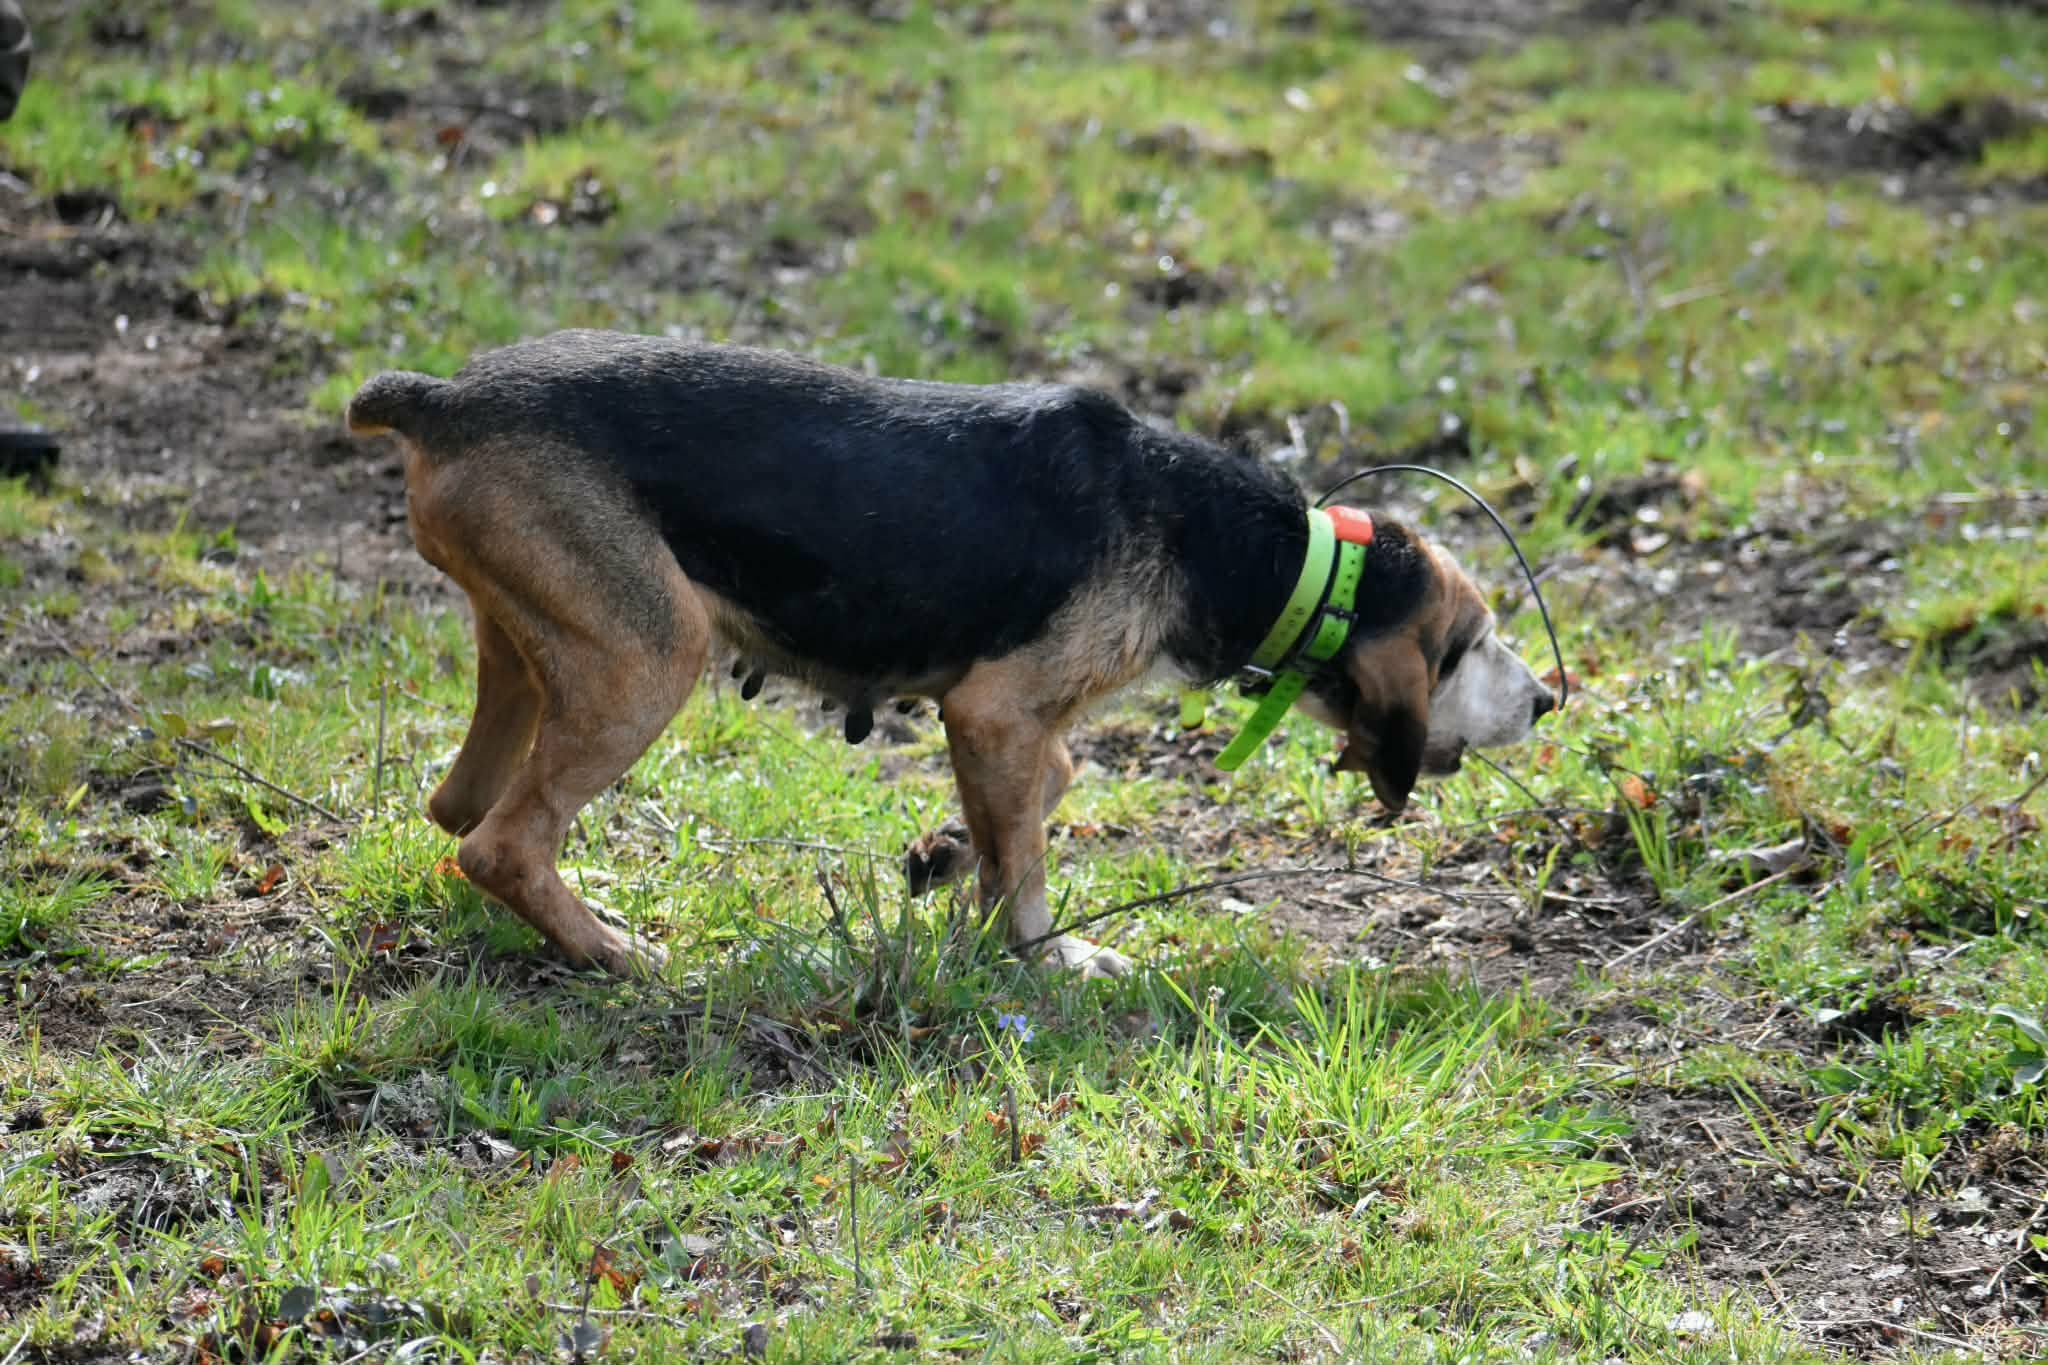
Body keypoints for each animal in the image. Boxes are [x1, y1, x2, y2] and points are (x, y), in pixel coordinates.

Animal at [347, 331, 1555, 979]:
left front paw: (958, 895)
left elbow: (1022, 818)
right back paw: (612, 953)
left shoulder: (1017, 736)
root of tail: (443, 401)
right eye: (1468, 644)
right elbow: (1027, 875)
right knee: (499, 842)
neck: (1255, 549)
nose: (1546, 700)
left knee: (461, 813)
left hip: (532, 646)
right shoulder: (995, 713)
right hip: (652, 655)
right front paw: (1050, 960)